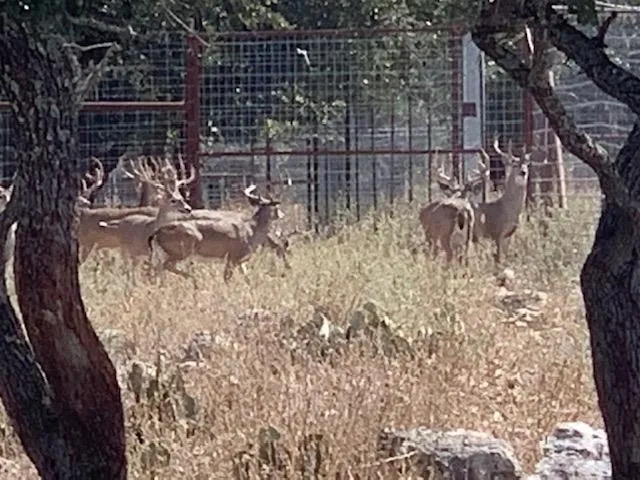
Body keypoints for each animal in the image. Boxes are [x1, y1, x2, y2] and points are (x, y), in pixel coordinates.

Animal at [148, 182, 288, 284]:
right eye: (276, 207)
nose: (282, 214)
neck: (252, 231)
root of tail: (156, 233)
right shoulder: (232, 256)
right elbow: (227, 278)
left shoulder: (240, 261)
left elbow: (247, 278)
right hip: (182, 249)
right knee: (166, 265)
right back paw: (194, 279)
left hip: (162, 253)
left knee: (158, 268)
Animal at [472, 134, 532, 262]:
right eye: (514, 164)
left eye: (526, 164)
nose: (523, 172)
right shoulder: (497, 233)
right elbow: (499, 259)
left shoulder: (508, 236)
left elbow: (505, 258)